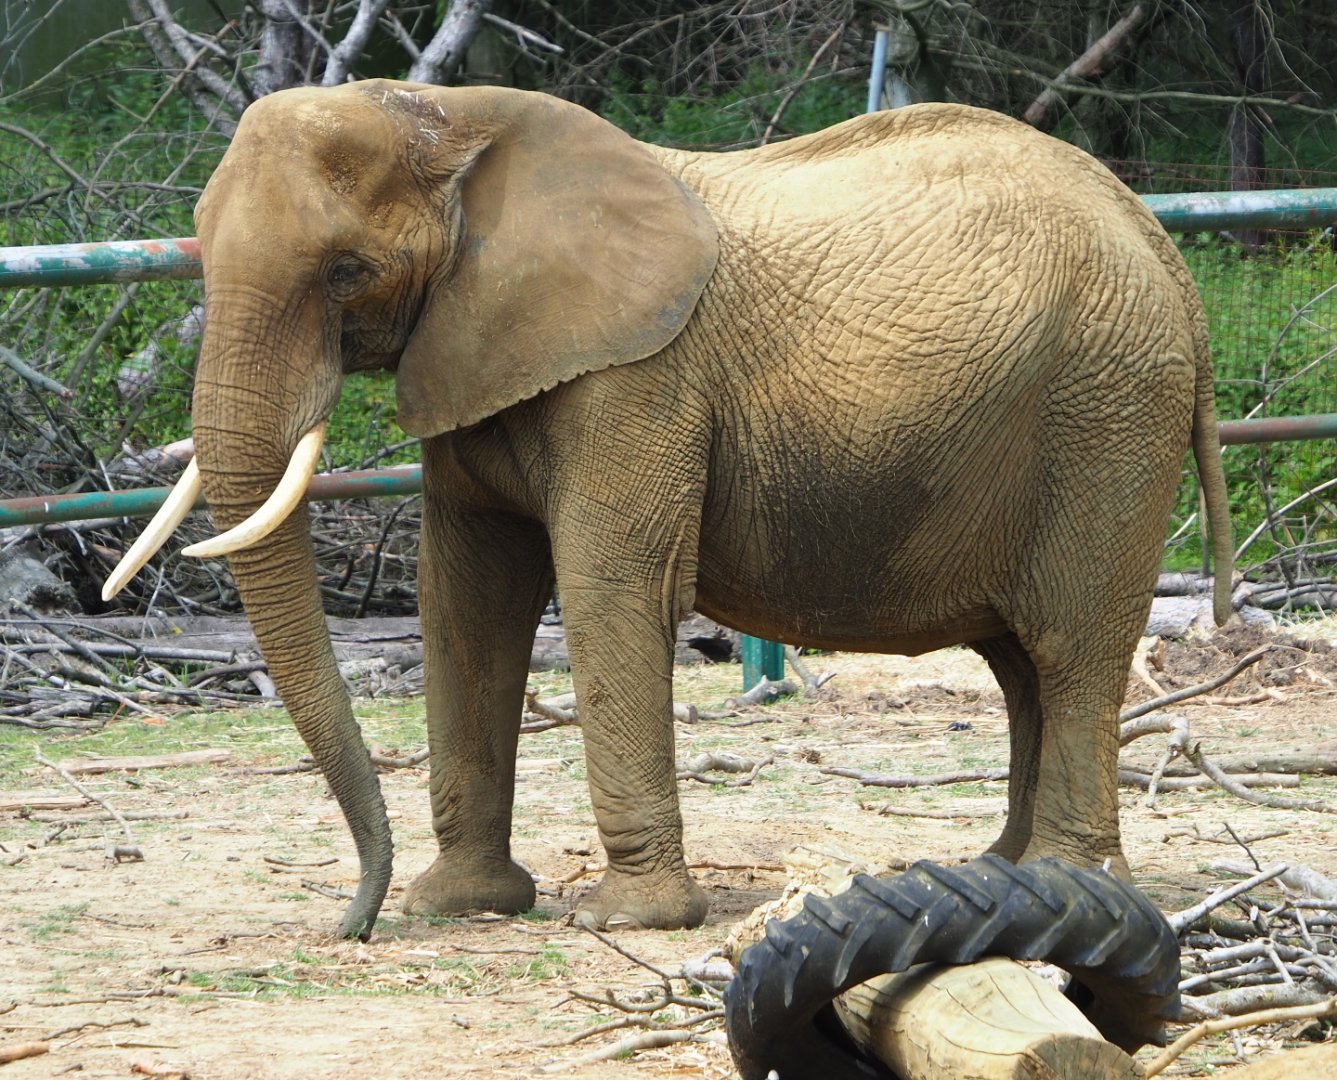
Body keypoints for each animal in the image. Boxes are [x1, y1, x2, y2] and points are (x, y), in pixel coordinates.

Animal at [105, 78, 1232, 940]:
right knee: (1018, 661)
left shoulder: (636, 380)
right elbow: (465, 598)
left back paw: (1061, 886)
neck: (455, 116)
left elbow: (611, 588)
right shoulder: (474, 355)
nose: (354, 924)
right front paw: (459, 906)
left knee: (1070, 646)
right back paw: (991, 873)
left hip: (1106, 411)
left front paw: (624, 921)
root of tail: (1163, 249)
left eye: (348, 270)